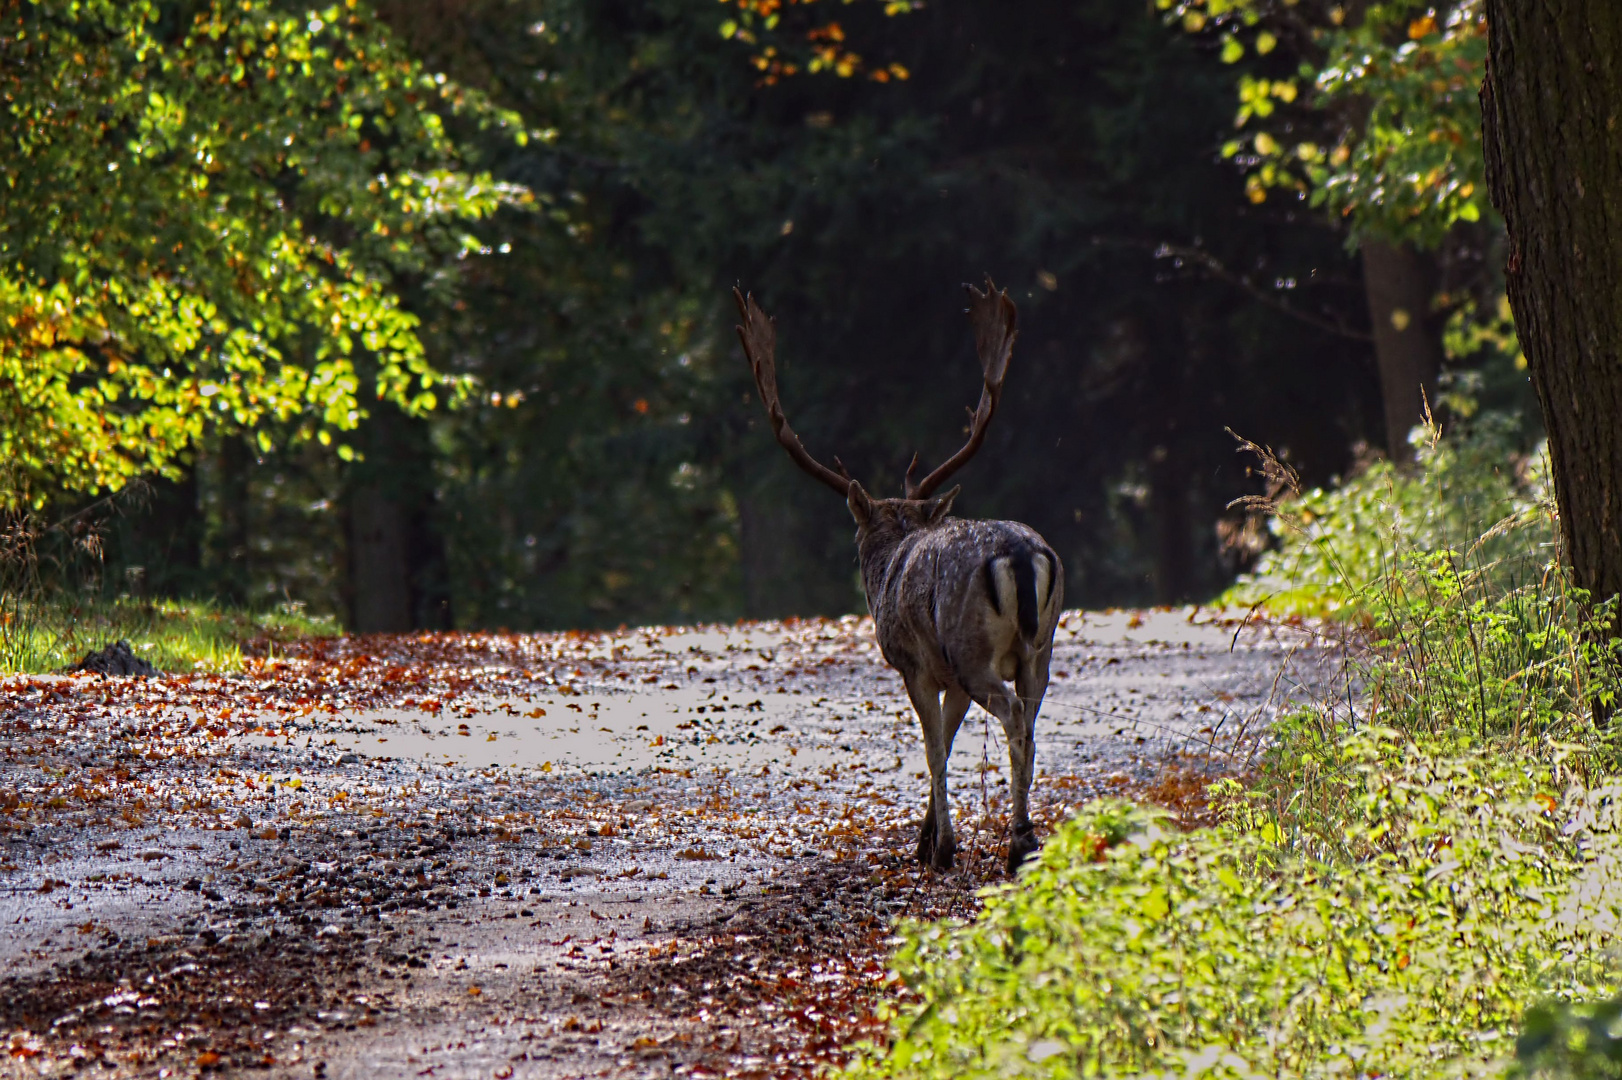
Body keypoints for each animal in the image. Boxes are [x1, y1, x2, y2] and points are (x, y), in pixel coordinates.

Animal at [736, 282, 1064, 869]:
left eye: (857, 535)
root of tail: (1023, 554)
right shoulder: (950, 678)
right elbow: (948, 741)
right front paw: (926, 838)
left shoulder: (916, 664)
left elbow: (933, 747)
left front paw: (940, 848)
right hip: (1041, 648)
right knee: (1030, 719)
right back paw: (1024, 840)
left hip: (970, 646)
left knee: (1011, 717)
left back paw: (1018, 841)